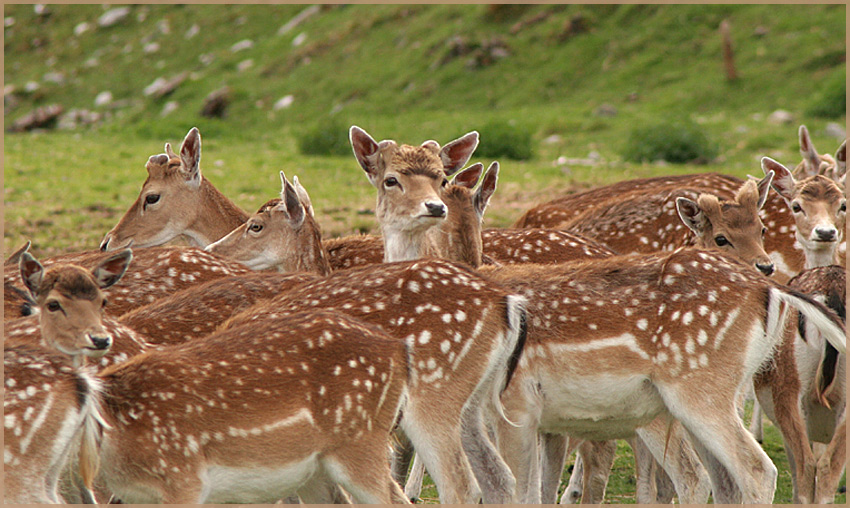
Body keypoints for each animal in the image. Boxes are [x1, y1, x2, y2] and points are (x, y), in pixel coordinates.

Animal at [476, 248, 840, 502]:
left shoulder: (515, 403)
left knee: (756, 470)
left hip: (700, 389)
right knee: (723, 480)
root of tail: (771, 289)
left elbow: (513, 490)